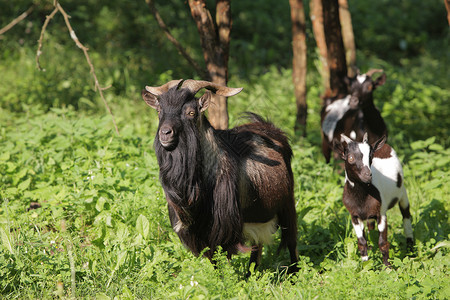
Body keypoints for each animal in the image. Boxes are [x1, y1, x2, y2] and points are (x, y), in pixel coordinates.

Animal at [142, 79, 300, 274]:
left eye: (191, 112)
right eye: (159, 111)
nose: (165, 133)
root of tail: (271, 128)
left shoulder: (225, 230)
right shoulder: (199, 234)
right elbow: (213, 262)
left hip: (287, 203)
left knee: (291, 240)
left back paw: (296, 273)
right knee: (258, 246)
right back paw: (251, 275)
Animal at [332, 132, 414, 266]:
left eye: (370, 157)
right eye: (350, 158)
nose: (367, 175)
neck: (361, 199)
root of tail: (385, 146)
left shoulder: (381, 213)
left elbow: (383, 243)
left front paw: (387, 267)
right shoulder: (354, 216)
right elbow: (361, 243)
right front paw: (365, 265)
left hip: (403, 193)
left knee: (406, 216)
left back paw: (410, 248)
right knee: (370, 225)